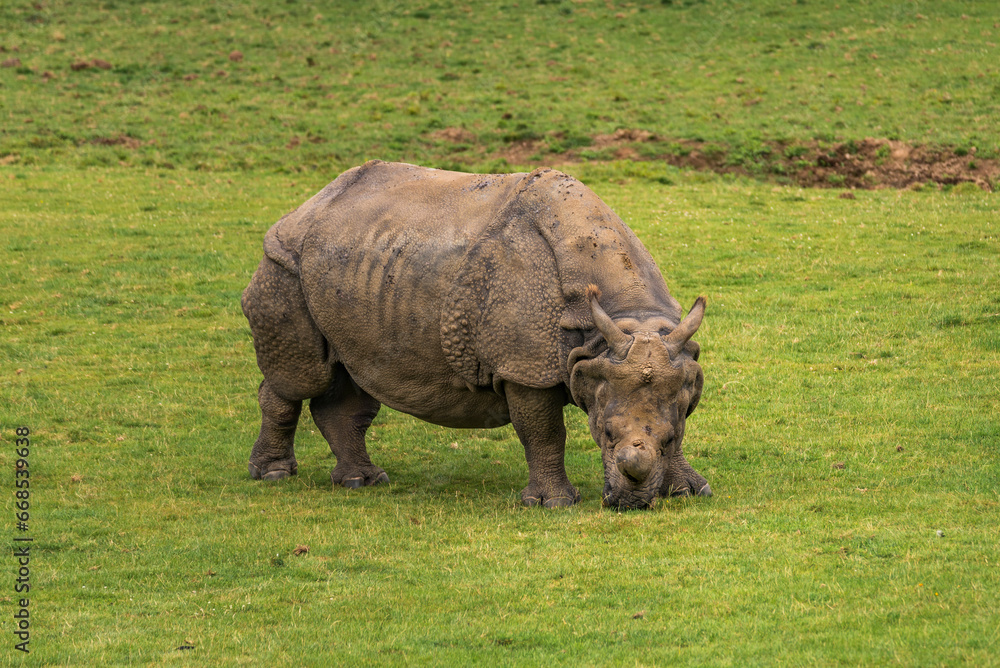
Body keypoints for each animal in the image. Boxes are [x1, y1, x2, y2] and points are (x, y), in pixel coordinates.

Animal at [242, 160, 711, 510]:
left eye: (667, 440)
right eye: (605, 434)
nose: (632, 503)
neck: (624, 319)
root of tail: (310, 203)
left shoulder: (670, 353)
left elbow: (677, 415)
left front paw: (690, 490)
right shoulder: (522, 366)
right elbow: (543, 430)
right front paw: (554, 504)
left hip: (359, 263)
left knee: (352, 375)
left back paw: (362, 482)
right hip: (285, 262)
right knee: (300, 377)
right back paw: (274, 475)